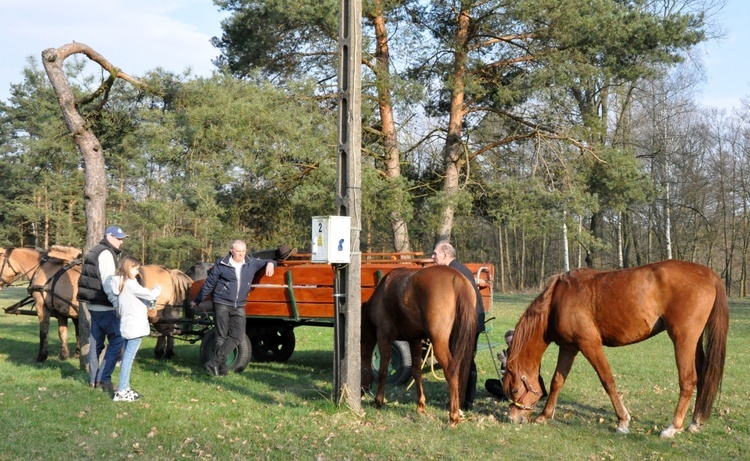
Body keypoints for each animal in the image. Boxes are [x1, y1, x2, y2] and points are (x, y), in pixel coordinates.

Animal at [362, 266, 478, 428]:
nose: (362, 393)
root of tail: (457, 279)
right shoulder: (414, 340)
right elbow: (416, 372)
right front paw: (420, 406)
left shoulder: (384, 337)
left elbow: (383, 370)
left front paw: (378, 400)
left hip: (439, 342)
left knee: (451, 372)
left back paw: (453, 417)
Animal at [506, 258, 728, 438]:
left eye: (515, 389)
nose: (512, 418)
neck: (557, 300)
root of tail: (709, 274)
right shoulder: (569, 348)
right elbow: (557, 382)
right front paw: (544, 415)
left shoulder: (590, 345)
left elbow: (608, 381)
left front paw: (622, 421)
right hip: (694, 343)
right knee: (703, 376)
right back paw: (695, 422)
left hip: (683, 341)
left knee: (688, 380)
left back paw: (673, 427)